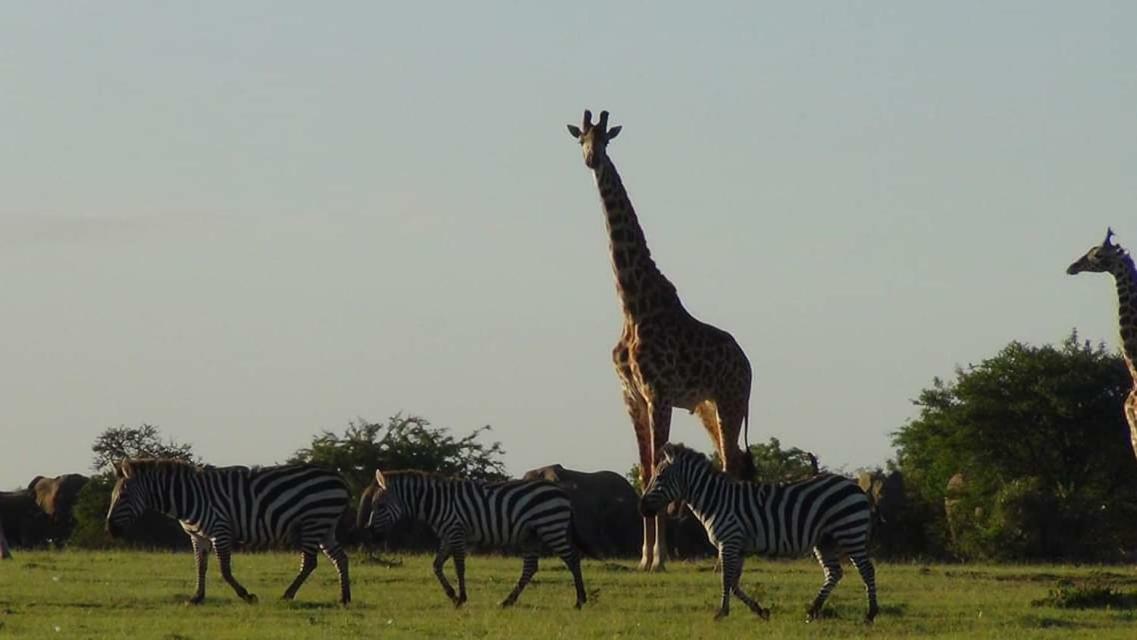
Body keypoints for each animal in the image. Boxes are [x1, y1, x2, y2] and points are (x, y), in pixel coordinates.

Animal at [107, 461, 354, 604]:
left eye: (123, 496)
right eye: (113, 496)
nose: (110, 529)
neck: (187, 498)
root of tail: (339, 478)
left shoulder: (220, 529)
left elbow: (224, 570)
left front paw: (246, 595)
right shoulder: (197, 536)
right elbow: (201, 566)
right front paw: (197, 597)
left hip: (314, 521)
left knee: (310, 561)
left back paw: (288, 595)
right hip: (325, 525)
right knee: (340, 558)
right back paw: (344, 598)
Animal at [354, 468, 586, 609]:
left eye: (379, 506)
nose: (370, 533)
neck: (435, 502)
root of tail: (561, 492)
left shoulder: (456, 531)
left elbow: (459, 567)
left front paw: (461, 598)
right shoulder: (448, 535)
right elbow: (436, 565)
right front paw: (451, 594)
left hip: (551, 528)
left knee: (572, 559)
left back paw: (580, 600)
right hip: (531, 535)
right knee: (530, 568)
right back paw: (508, 601)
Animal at [566, 110, 754, 570]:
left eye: (605, 139)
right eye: (581, 138)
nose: (591, 159)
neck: (632, 305)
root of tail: (748, 364)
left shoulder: (659, 394)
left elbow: (657, 469)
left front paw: (661, 558)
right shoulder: (632, 397)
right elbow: (645, 469)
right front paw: (645, 557)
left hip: (730, 401)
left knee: (732, 465)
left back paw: (728, 555)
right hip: (706, 408)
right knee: (731, 462)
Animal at [641, 443, 877, 622]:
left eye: (660, 476)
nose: (642, 508)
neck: (716, 501)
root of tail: (855, 486)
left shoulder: (729, 541)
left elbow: (726, 579)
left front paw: (721, 613)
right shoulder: (738, 547)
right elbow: (734, 583)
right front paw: (761, 611)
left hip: (850, 531)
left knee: (866, 570)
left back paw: (870, 614)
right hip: (825, 540)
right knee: (834, 573)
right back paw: (812, 610)